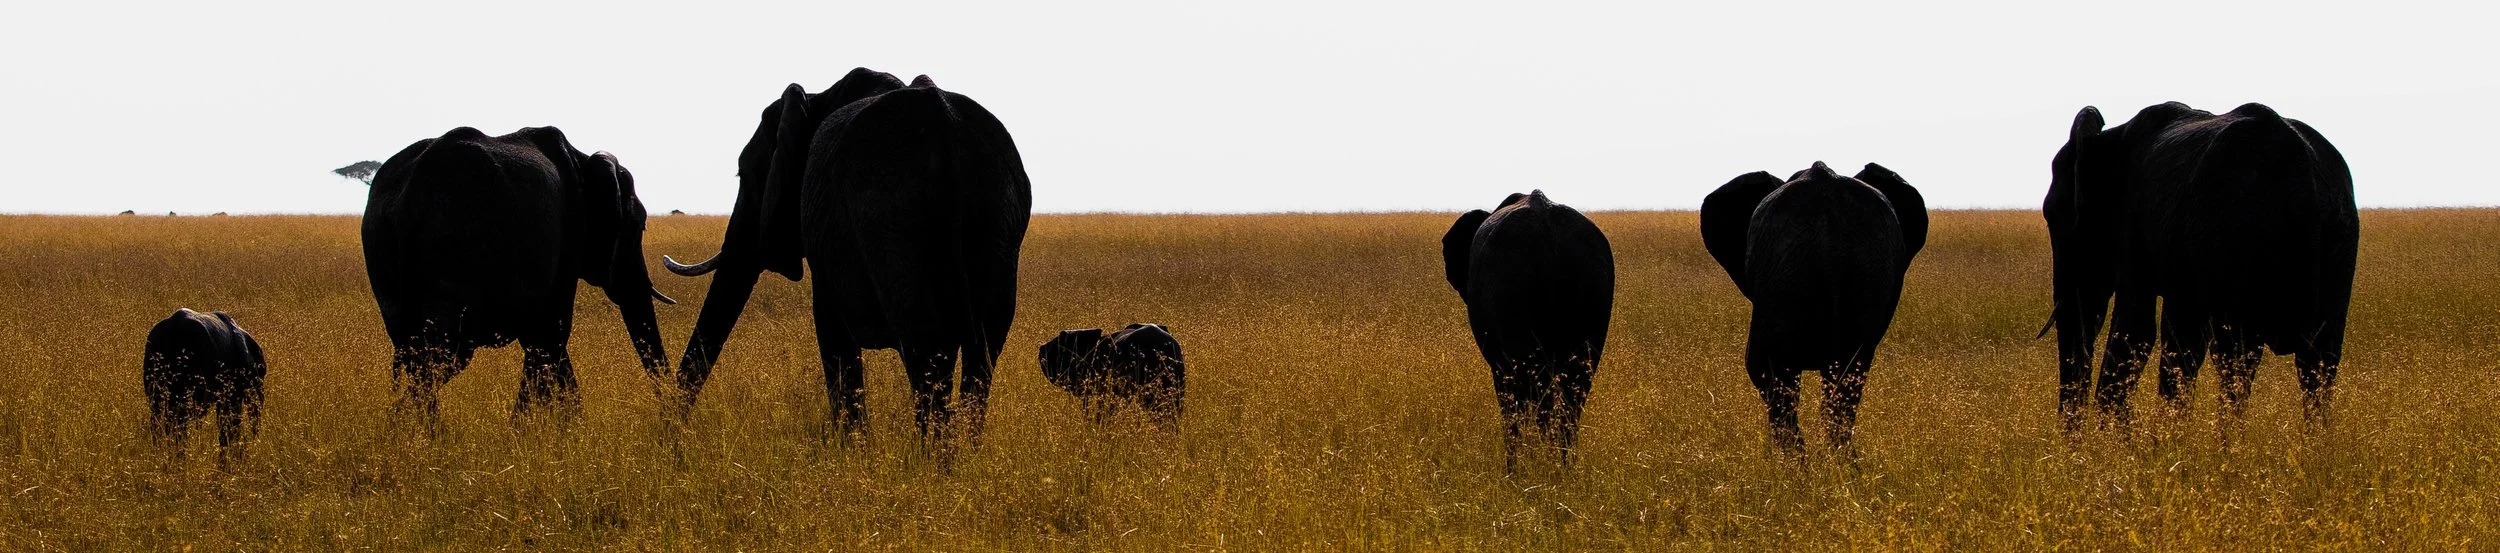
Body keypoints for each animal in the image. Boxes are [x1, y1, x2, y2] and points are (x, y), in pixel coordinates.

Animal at [362, 126, 673, 419]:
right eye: (640, 226)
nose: (668, 415)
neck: (583, 159)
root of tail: (409, 197)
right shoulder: (569, 235)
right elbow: (552, 334)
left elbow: (542, 339)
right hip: (451, 248)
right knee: (443, 357)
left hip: (383, 253)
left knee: (418, 356)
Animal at [662, 68, 1032, 445]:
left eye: (744, 174)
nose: (674, 442)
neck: (818, 96)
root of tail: (944, 130)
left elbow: (832, 332)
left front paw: (855, 450)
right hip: (997, 214)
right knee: (984, 346)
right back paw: (962, 454)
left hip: (887, 216)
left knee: (926, 345)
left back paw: (935, 458)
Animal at [2043, 102, 2356, 434]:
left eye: (2053, 217)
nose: (2074, 439)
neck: (2107, 139)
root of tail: (2305, 178)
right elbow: (2179, 340)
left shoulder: (2134, 226)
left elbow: (2135, 330)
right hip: (2339, 239)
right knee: (2317, 361)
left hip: (2240, 237)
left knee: (2236, 358)